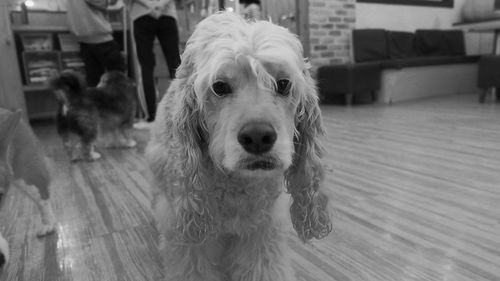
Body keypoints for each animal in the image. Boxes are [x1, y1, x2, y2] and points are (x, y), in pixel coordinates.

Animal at [145, 11, 332, 280]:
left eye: (283, 84)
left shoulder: (263, 230)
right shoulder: (191, 240)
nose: (258, 136)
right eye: (219, 86)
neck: (235, 183)